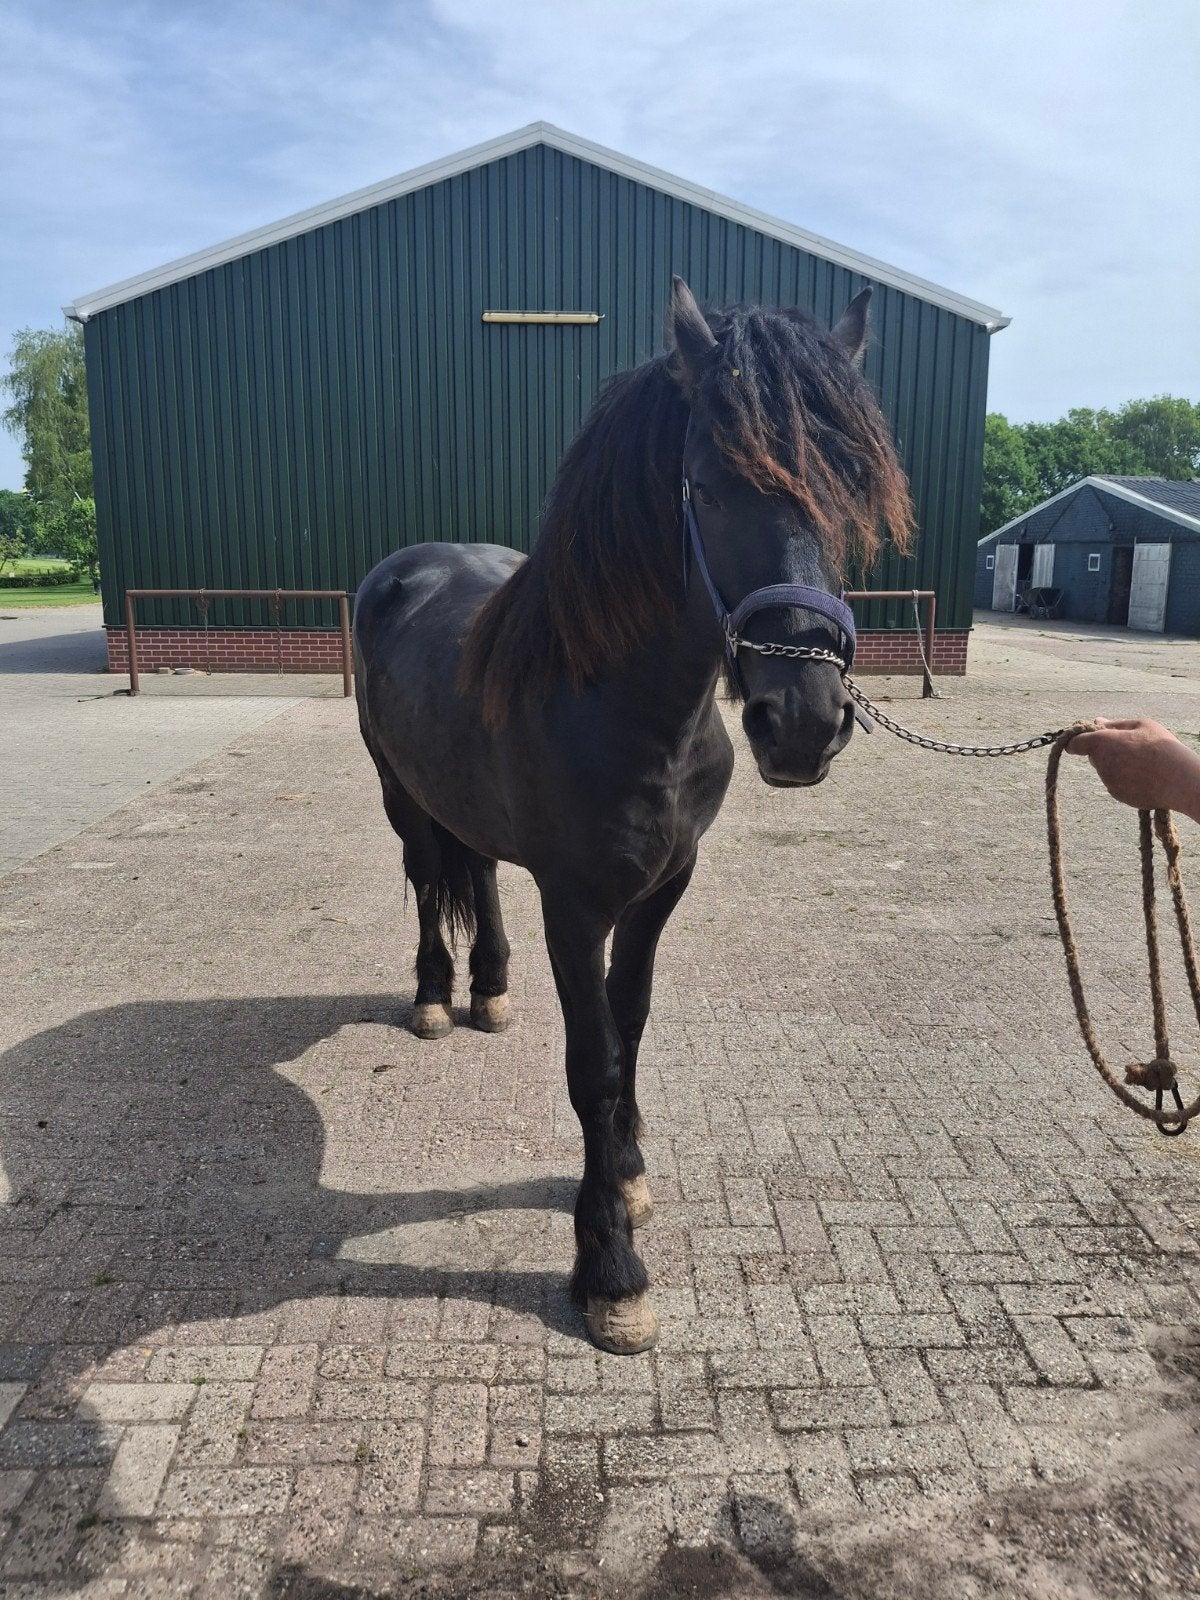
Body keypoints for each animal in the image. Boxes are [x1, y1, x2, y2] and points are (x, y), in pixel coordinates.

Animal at [353, 277, 913, 1353]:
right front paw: (609, 1266)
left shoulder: (666, 884)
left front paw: (629, 1172)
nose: (803, 720)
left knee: (479, 869)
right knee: (427, 878)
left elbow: (634, 1020)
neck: (622, 703)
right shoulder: (574, 904)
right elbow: (595, 1063)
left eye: (847, 488)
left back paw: (491, 988)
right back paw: (437, 995)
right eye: (711, 485)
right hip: (400, 796)